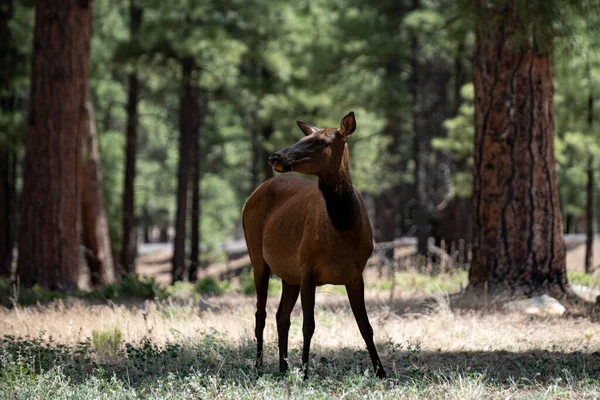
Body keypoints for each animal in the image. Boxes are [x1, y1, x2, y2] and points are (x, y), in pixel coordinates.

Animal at [241, 111, 386, 378]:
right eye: (303, 137)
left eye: (319, 141)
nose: (275, 156)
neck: (344, 232)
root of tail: (251, 196)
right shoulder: (307, 266)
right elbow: (309, 325)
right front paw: (306, 373)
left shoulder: (355, 273)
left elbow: (365, 325)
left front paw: (382, 372)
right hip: (257, 257)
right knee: (260, 313)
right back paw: (259, 368)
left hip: (289, 275)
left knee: (281, 316)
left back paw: (283, 368)